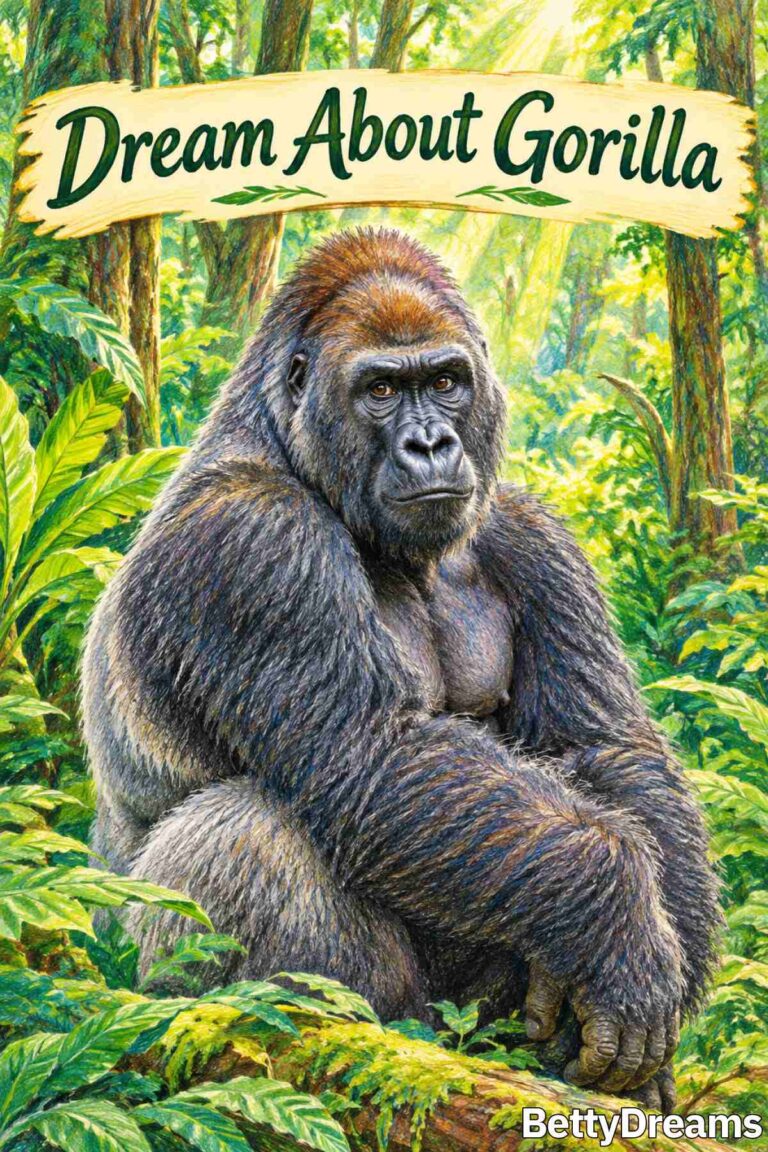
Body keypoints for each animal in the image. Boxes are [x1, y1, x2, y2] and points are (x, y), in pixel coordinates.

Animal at [82, 227, 720, 1110]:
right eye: (381, 389)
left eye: (445, 382)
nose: (430, 444)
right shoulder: (252, 538)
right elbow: (370, 753)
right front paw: (621, 922)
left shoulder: (531, 532)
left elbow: (606, 747)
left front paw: (671, 959)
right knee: (244, 831)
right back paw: (358, 1026)